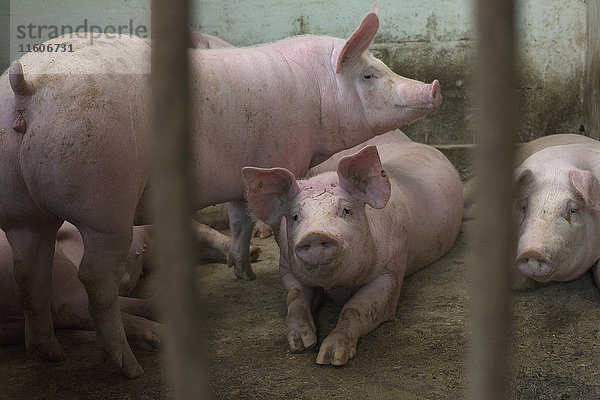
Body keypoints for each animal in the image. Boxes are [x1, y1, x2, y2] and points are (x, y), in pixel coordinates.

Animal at [241, 131, 462, 366]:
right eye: (295, 216)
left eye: (347, 210)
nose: (315, 234)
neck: (335, 286)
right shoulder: (285, 265)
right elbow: (295, 296)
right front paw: (301, 344)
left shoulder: (391, 271)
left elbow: (355, 308)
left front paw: (331, 358)